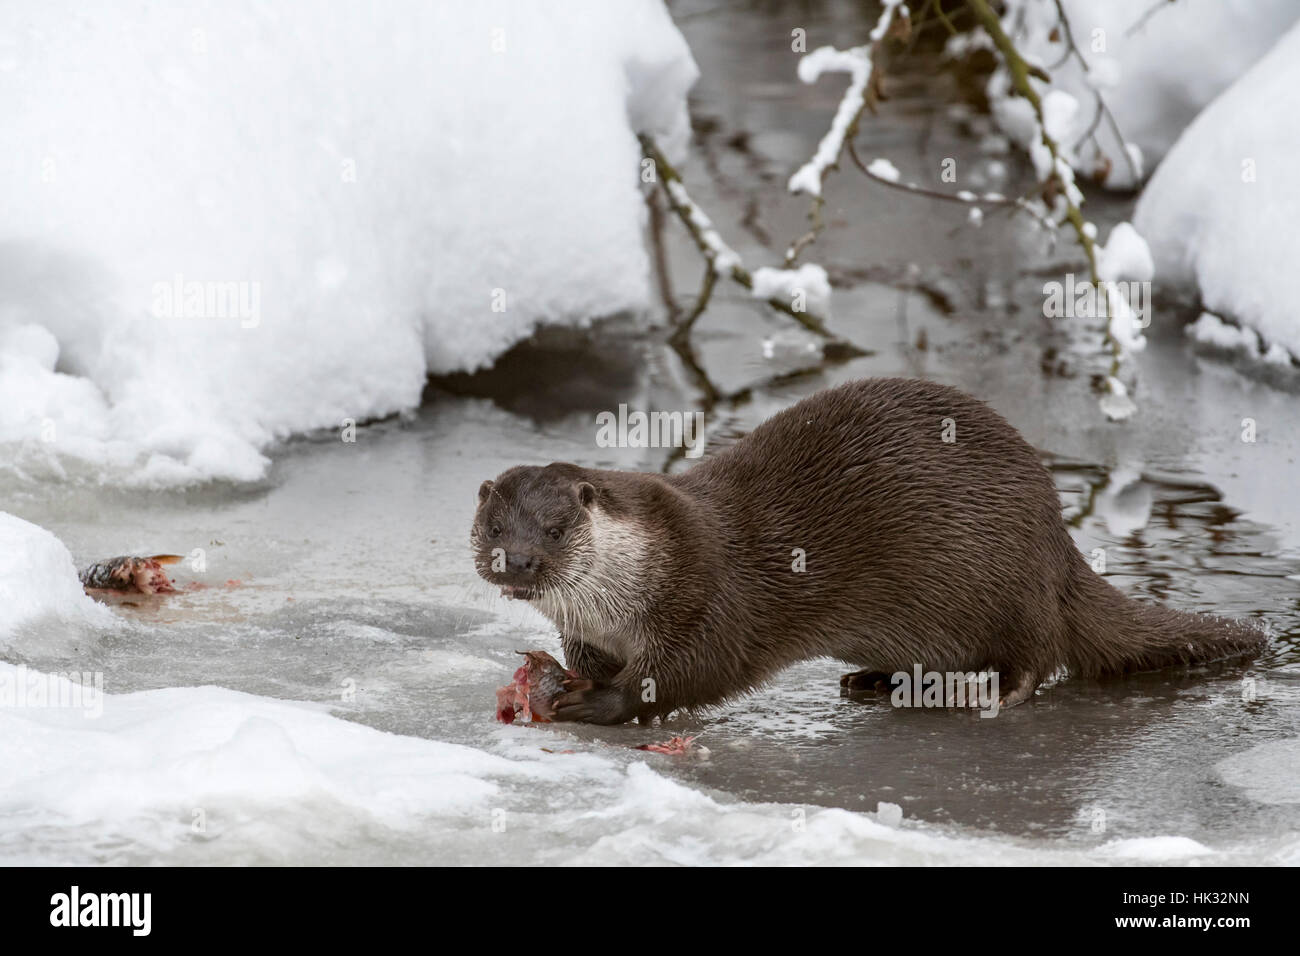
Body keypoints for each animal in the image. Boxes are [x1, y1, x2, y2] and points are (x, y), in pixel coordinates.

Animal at [470, 377, 1268, 723]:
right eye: (495, 528)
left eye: (555, 530)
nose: (518, 563)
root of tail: (1059, 540)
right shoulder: (590, 631)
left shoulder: (708, 597)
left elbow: (684, 675)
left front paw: (593, 701)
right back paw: (877, 681)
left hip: (1011, 584)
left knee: (1036, 658)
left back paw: (980, 694)